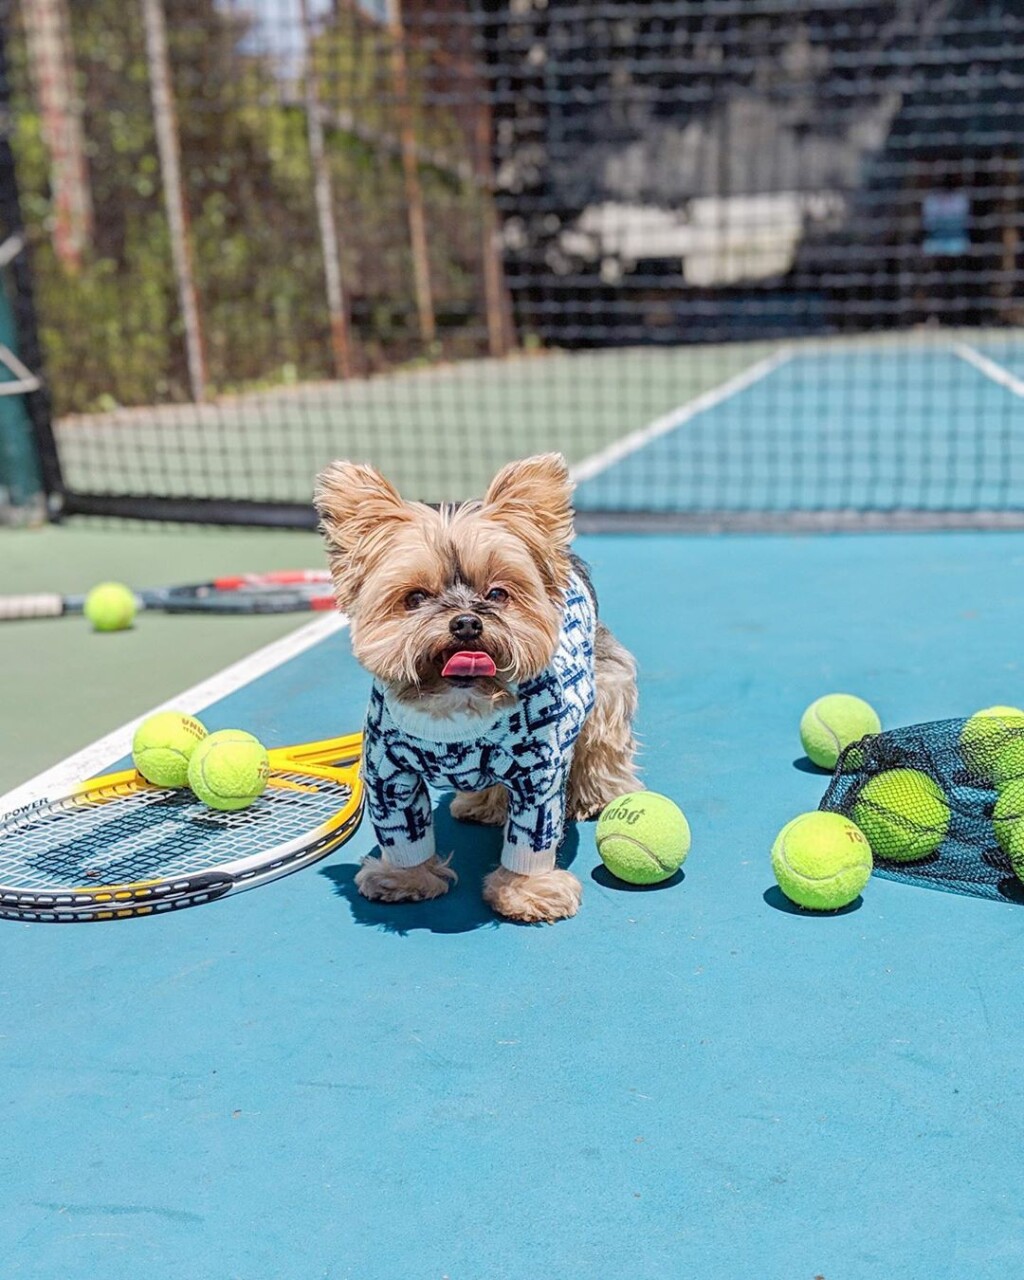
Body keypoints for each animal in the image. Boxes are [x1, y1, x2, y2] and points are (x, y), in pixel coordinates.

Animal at [316, 453, 645, 921]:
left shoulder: (538, 774)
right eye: (415, 598)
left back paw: (596, 796)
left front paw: (527, 891)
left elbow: (533, 835)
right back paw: (483, 804)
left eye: (498, 593)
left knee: (602, 744)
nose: (467, 622)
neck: (455, 711)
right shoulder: (388, 772)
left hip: (606, 687)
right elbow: (402, 831)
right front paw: (404, 879)